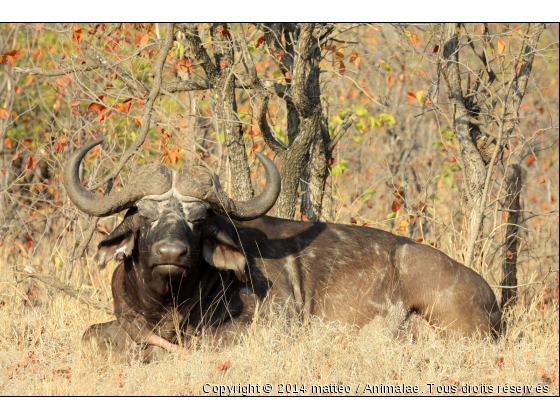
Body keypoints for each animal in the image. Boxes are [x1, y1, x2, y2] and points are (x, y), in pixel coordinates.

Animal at [63, 139, 500, 360]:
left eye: (199, 219)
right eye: (144, 216)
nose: (172, 253)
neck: (170, 305)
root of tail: (489, 294)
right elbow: (89, 334)